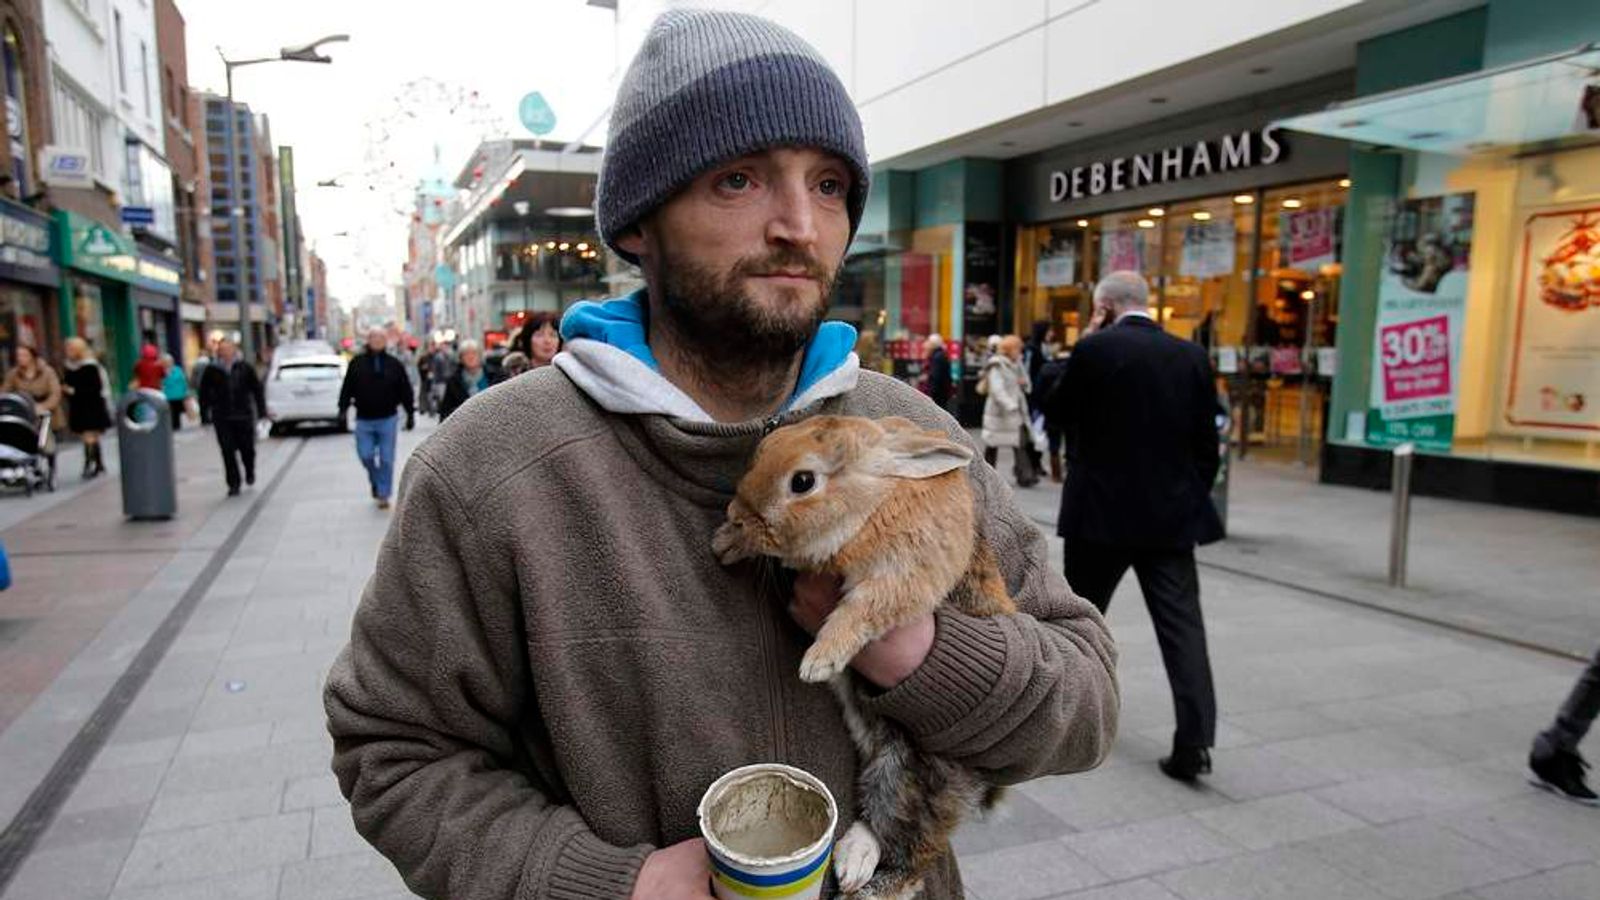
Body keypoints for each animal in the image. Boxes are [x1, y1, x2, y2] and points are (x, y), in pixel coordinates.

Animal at [712, 415, 1016, 900]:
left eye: (802, 481)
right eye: (766, 446)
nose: (735, 514)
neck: (874, 501)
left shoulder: (902, 576)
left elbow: (861, 611)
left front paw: (818, 662)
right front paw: (725, 544)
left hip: (923, 769)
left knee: (913, 840)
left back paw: (864, 883)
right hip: (875, 739)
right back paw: (852, 858)